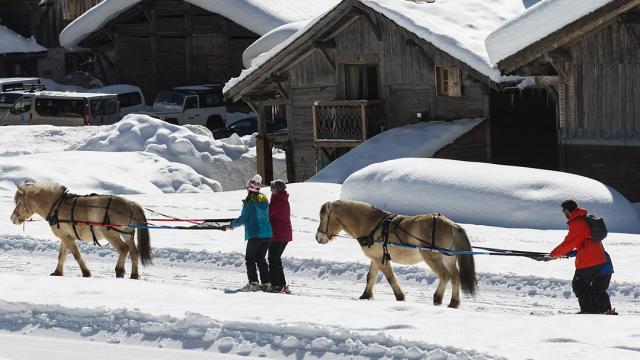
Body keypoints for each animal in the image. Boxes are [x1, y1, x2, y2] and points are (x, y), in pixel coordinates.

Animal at [10, 183, 152, 278]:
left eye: (18, 203)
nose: (12, 219)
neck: (56, 207)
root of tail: (131, 204)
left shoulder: (67, 238)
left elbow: (76, 255)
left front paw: (86, 272)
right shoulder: (65, 237)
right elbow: (62, 255)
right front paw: (57, 272)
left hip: (111, 234)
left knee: (123, 249)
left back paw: (119, 271)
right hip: (127, 234)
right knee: (134, 252)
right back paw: (134, 275)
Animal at [316, 200, 476, 306]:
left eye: (323, 217)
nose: (318, 238)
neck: (371, 225)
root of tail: (453, 225)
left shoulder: (381, 259)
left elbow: (390, 278)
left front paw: (400, 297)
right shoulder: (376, 258)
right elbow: (370, 277)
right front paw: (366, 296)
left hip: (432, 258)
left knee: (445, 276)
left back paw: (437, 298)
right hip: (449, 259)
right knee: (455, 277)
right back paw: (453, 302)